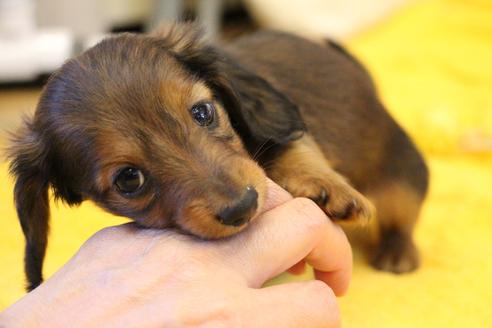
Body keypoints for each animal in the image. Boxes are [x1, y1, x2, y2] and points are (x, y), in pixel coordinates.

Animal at [9, 23, 428, 290]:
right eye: (129, 179)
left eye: (202, 112)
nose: (242, 206)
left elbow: (295, 149)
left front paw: (326, 188)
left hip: (402, 185)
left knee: (402, 219)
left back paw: (397, 251)